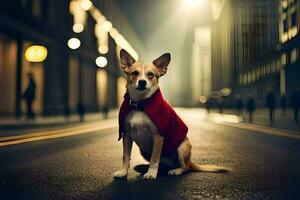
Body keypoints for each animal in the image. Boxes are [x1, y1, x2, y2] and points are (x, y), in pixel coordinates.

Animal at [113, 48, 229, 180]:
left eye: (150, 74)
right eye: (134, 73)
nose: (142, 82)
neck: (141, 104)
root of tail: (190, 161)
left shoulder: (158, 137)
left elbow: (154, 159)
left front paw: (151, 173)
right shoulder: (127, 135)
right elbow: (126, 157)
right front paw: (123, 172)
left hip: (181, 148)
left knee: (185, 167)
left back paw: (175, 171)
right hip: (144, 151)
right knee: (164, 164)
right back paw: (146, 167)